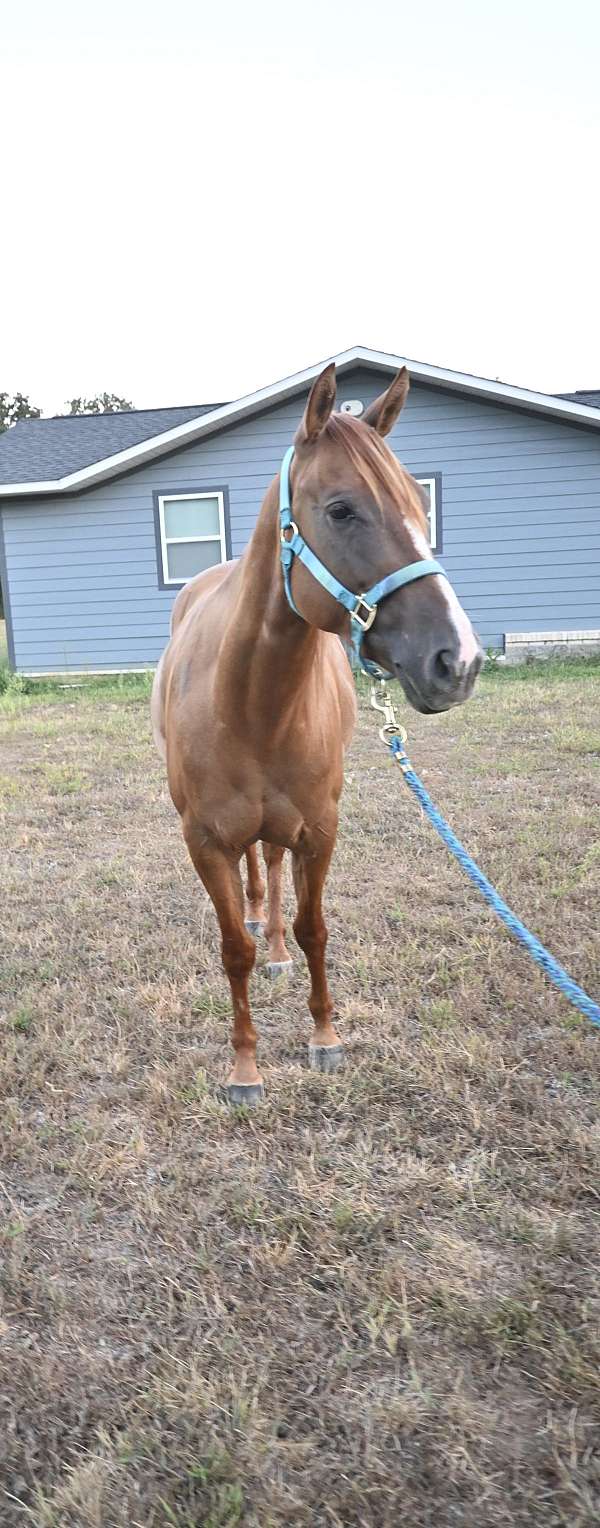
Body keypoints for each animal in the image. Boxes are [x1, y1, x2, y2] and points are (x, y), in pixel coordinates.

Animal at [152, 364, 483, 1102]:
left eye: (421, 509)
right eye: (340, 510)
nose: (459, 662)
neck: (251, 704)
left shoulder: (321, 829)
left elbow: (313, 929)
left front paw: (325, 1036)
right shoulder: (203, 841)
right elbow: (233, 950)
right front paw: (245, 1068)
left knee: (272, 869)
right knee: (256, 874)